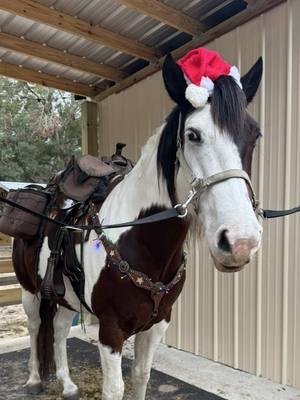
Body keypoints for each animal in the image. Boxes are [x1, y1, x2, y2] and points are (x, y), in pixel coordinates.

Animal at [12, 50, 264, 400]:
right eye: (193, 134)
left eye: (254, 134)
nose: (240, 242)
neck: (142, 242)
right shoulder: (111, 330)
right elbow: (115, 388)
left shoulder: (158, 325)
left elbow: (142, 375)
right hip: (29, 290)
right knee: (36, 325)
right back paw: (36, 379)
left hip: (63, 296)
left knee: (60, 329)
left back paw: (68, 384)